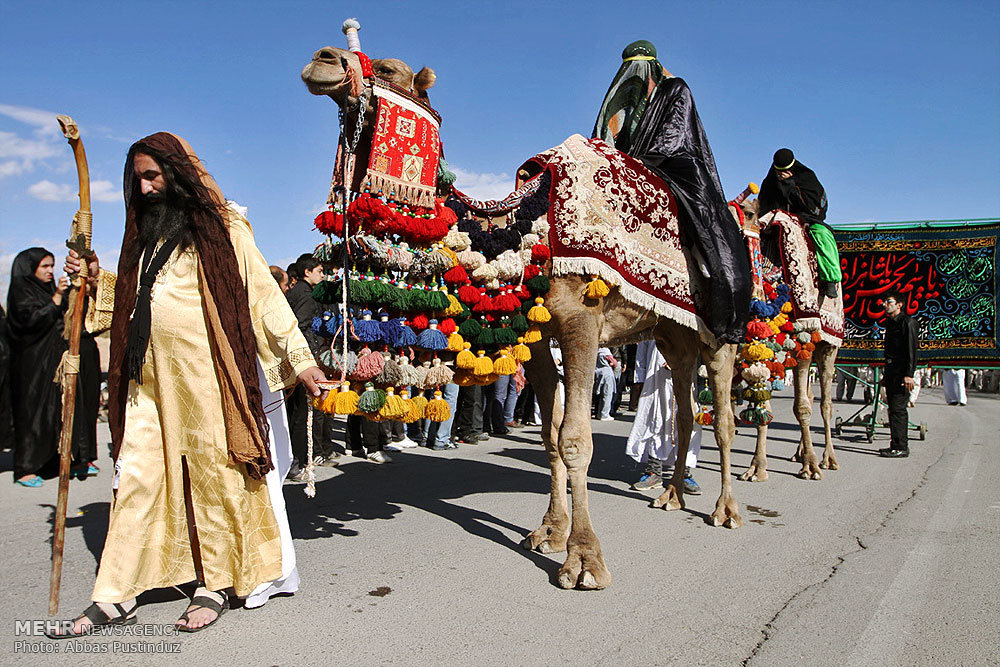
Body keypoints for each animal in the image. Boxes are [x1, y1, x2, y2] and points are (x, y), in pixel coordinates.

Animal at [300, 31, 748, 588]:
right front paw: (550, 532)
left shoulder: (580, 323)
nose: (321, 60)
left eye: (390, 69)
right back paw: (670, 495)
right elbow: (551, 437)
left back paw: (726, 509)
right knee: (685, 409)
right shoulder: (537, 339)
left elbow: (576, 440)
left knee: (723, 416)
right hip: (671, 335)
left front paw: (583, 560)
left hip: (719, 332)